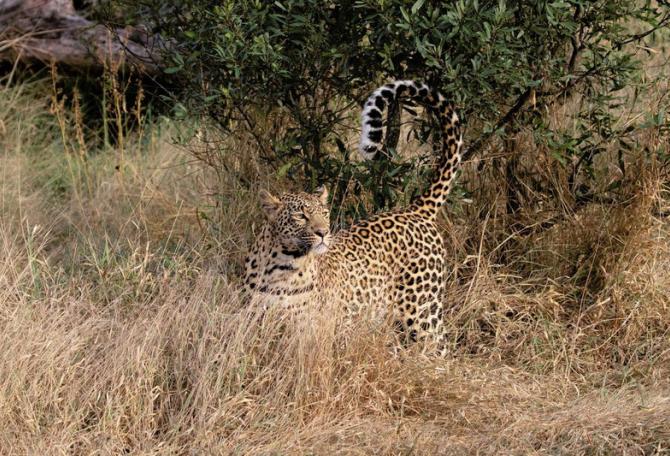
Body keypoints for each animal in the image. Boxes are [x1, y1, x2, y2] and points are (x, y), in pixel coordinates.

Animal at [243, 80, 463, 353]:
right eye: (300, 216)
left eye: (324, 214)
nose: (323, 233)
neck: (283, 266)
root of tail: (414, 209)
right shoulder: (254, 325)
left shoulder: (306, 334)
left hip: (423, 312)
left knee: (440, 349)